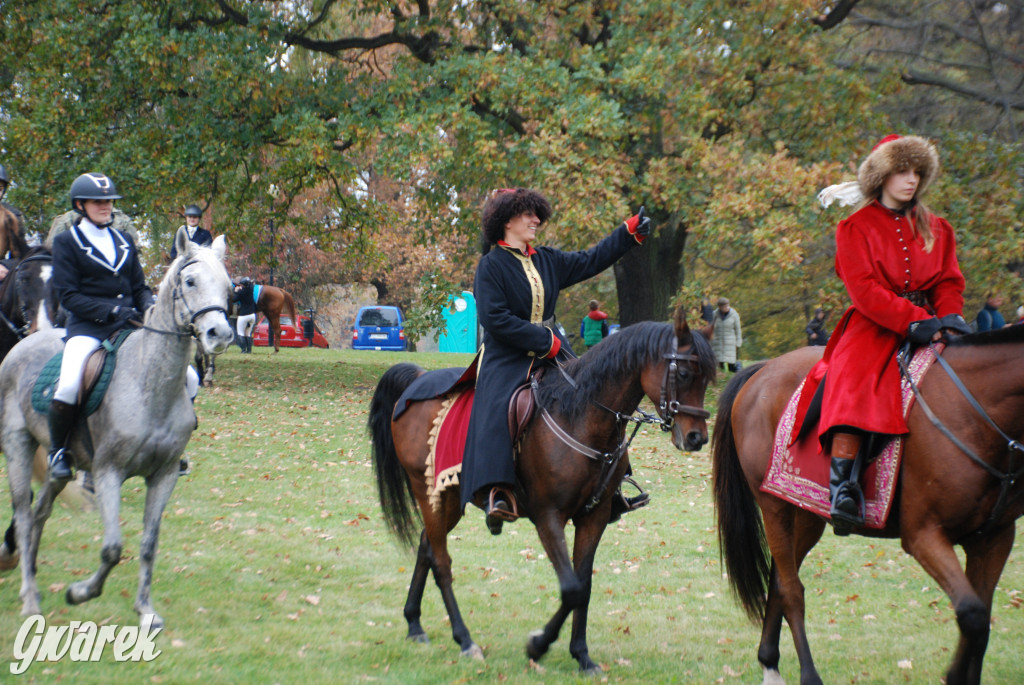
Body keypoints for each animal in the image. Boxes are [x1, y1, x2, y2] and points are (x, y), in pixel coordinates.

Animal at [0, 229, 234, 626]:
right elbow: (112, 548)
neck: (150, 384)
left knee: (41, 511)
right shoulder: (108, 471)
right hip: (18, 446)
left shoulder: (163, 475)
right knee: (24, 512)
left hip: (61, 463)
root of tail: (24, 343)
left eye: (228, 286)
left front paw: (145, 609)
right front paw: (80, 593)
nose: (219, 334)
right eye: (190, 281)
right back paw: (30, 597)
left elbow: (148, 544)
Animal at [366, 311, 712, 671]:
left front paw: (581, 655)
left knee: (426, 547)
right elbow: (571, 588)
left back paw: (414, 624)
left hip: (446, 500)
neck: (580, 414)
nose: (696, 438)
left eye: (708, 378)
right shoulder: (548, 517)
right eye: (684, 373)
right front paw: (538, 645)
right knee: (441, 562)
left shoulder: (595, 516)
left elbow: (584, 585)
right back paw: (465, 640)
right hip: (429, 492)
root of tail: (419, 379)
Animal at [716, 327, 1024, 679]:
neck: (973, 411)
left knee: (779, 578)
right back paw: (808, 675)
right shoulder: (924, 535)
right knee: (791, 590)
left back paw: (769, 662)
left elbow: (981, 622)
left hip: (805, 512)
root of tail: (764, 369)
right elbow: (972, 615)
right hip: (773, 507)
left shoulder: (994, 539)